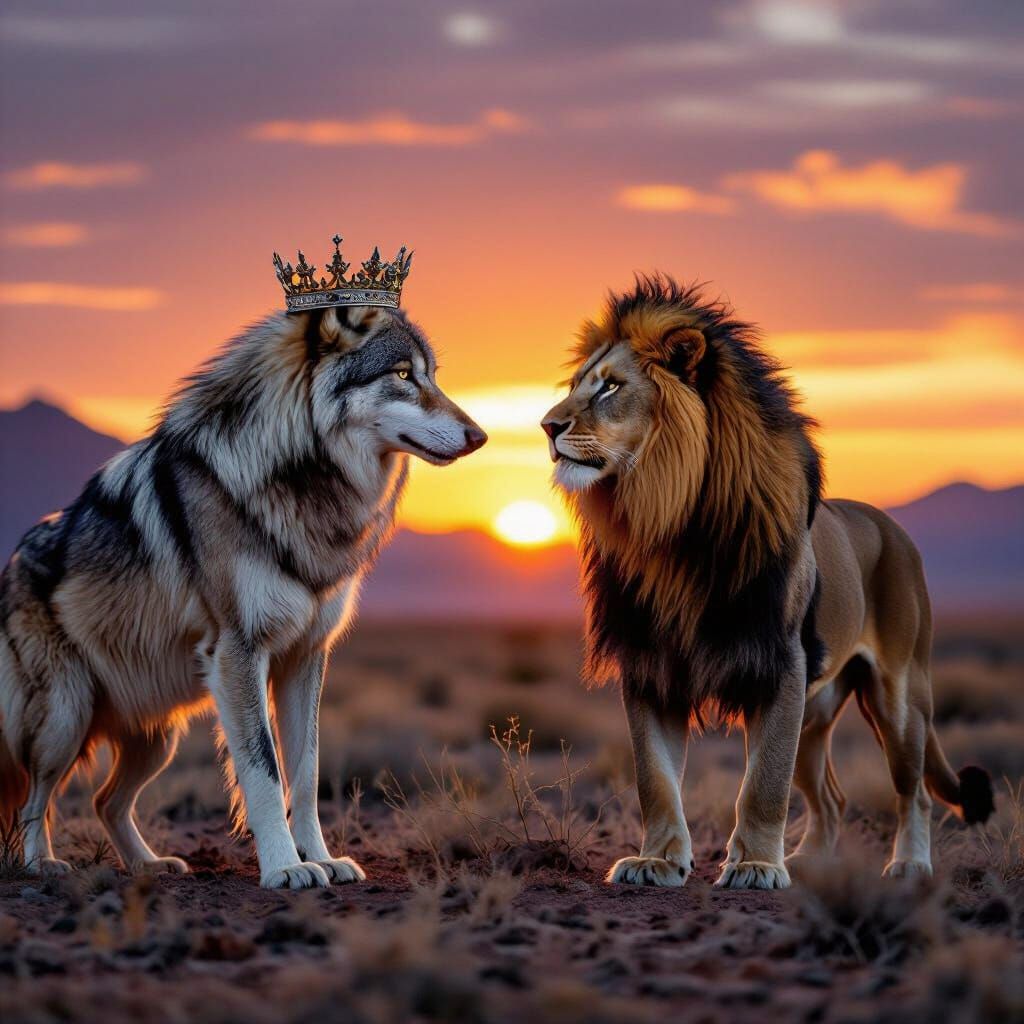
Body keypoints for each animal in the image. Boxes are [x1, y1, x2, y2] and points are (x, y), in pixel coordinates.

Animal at [0, 303, 486, 888]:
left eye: (432, 375)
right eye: (402, 374)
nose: (481, 436)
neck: (301, 480)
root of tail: (12, 562)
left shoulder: (305, 656)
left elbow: (306, 772)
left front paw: (321, 857)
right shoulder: (238, 652)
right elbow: (263, 770)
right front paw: (285, 868)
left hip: (156, 739)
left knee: (104, 801)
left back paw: (149, 866)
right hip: (65, 720)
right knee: (34, 799)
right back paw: (41, 865)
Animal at [542, 276, 994, 888]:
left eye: (611, 387)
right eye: (575, 386)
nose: (547, 426)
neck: (668, 526)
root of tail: (888, 523)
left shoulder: (779, 664)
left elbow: (763, 785)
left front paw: (755, 865)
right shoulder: (650, 665)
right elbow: (655, 779)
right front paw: (657, 860)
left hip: (898, 697)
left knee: (913, 792)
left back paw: (909, 865)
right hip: (816, 710)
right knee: (832, 798)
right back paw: (808, 861)